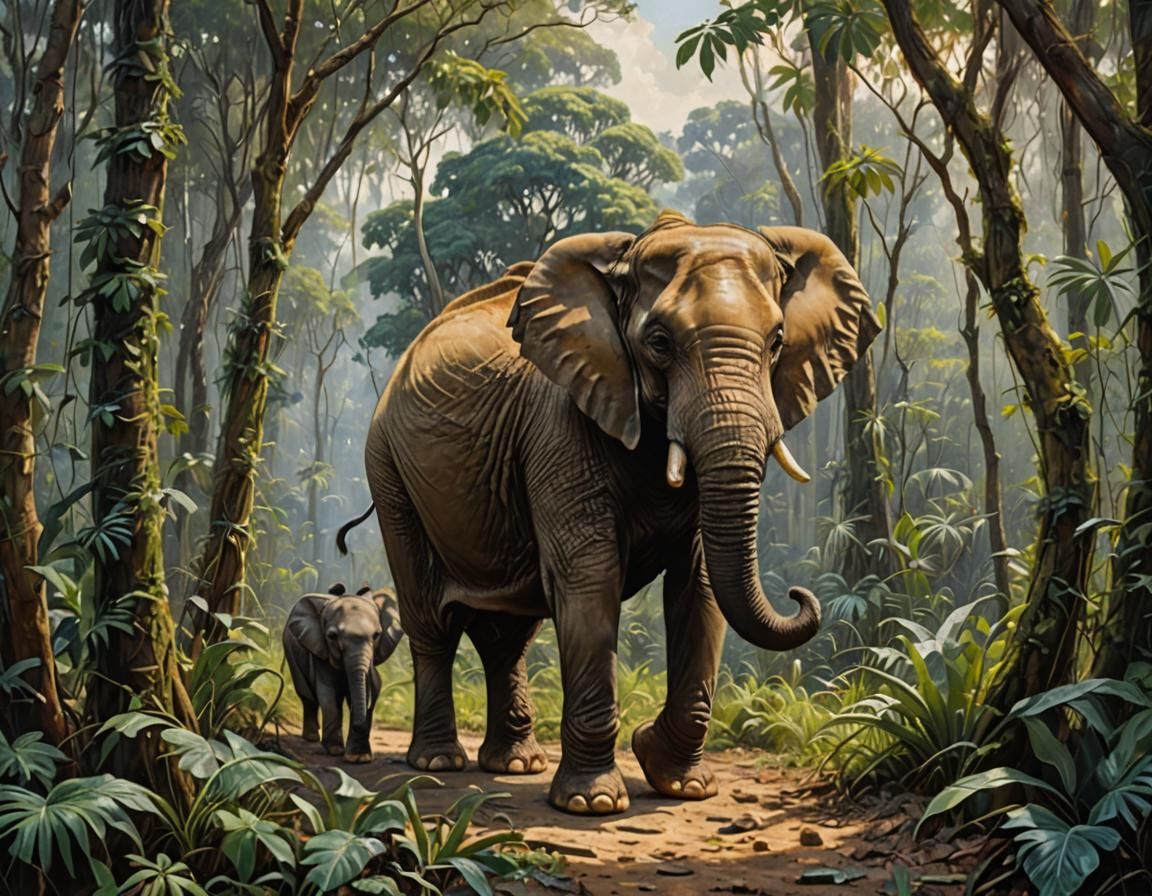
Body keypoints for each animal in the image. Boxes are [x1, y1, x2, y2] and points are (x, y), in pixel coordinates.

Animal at [283, 583, 404, 762]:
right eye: (332, 636)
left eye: (376, 635)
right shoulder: (320, 649)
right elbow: (328, 693)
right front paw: (335, 751)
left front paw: (359, 758)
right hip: (290, 650)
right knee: (307, 695)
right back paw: (311, 738)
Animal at [337, 210, 880, 813]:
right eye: (659, 342)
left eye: (778, 339)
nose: (799, 595)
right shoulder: (557, 425)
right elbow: (588, 575)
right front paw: (592, 803)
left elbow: (700, 584)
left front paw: (680, 783)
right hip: (388, 468)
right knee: (432, 619)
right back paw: (438, 763)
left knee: (508, 632)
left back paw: (516, 765)